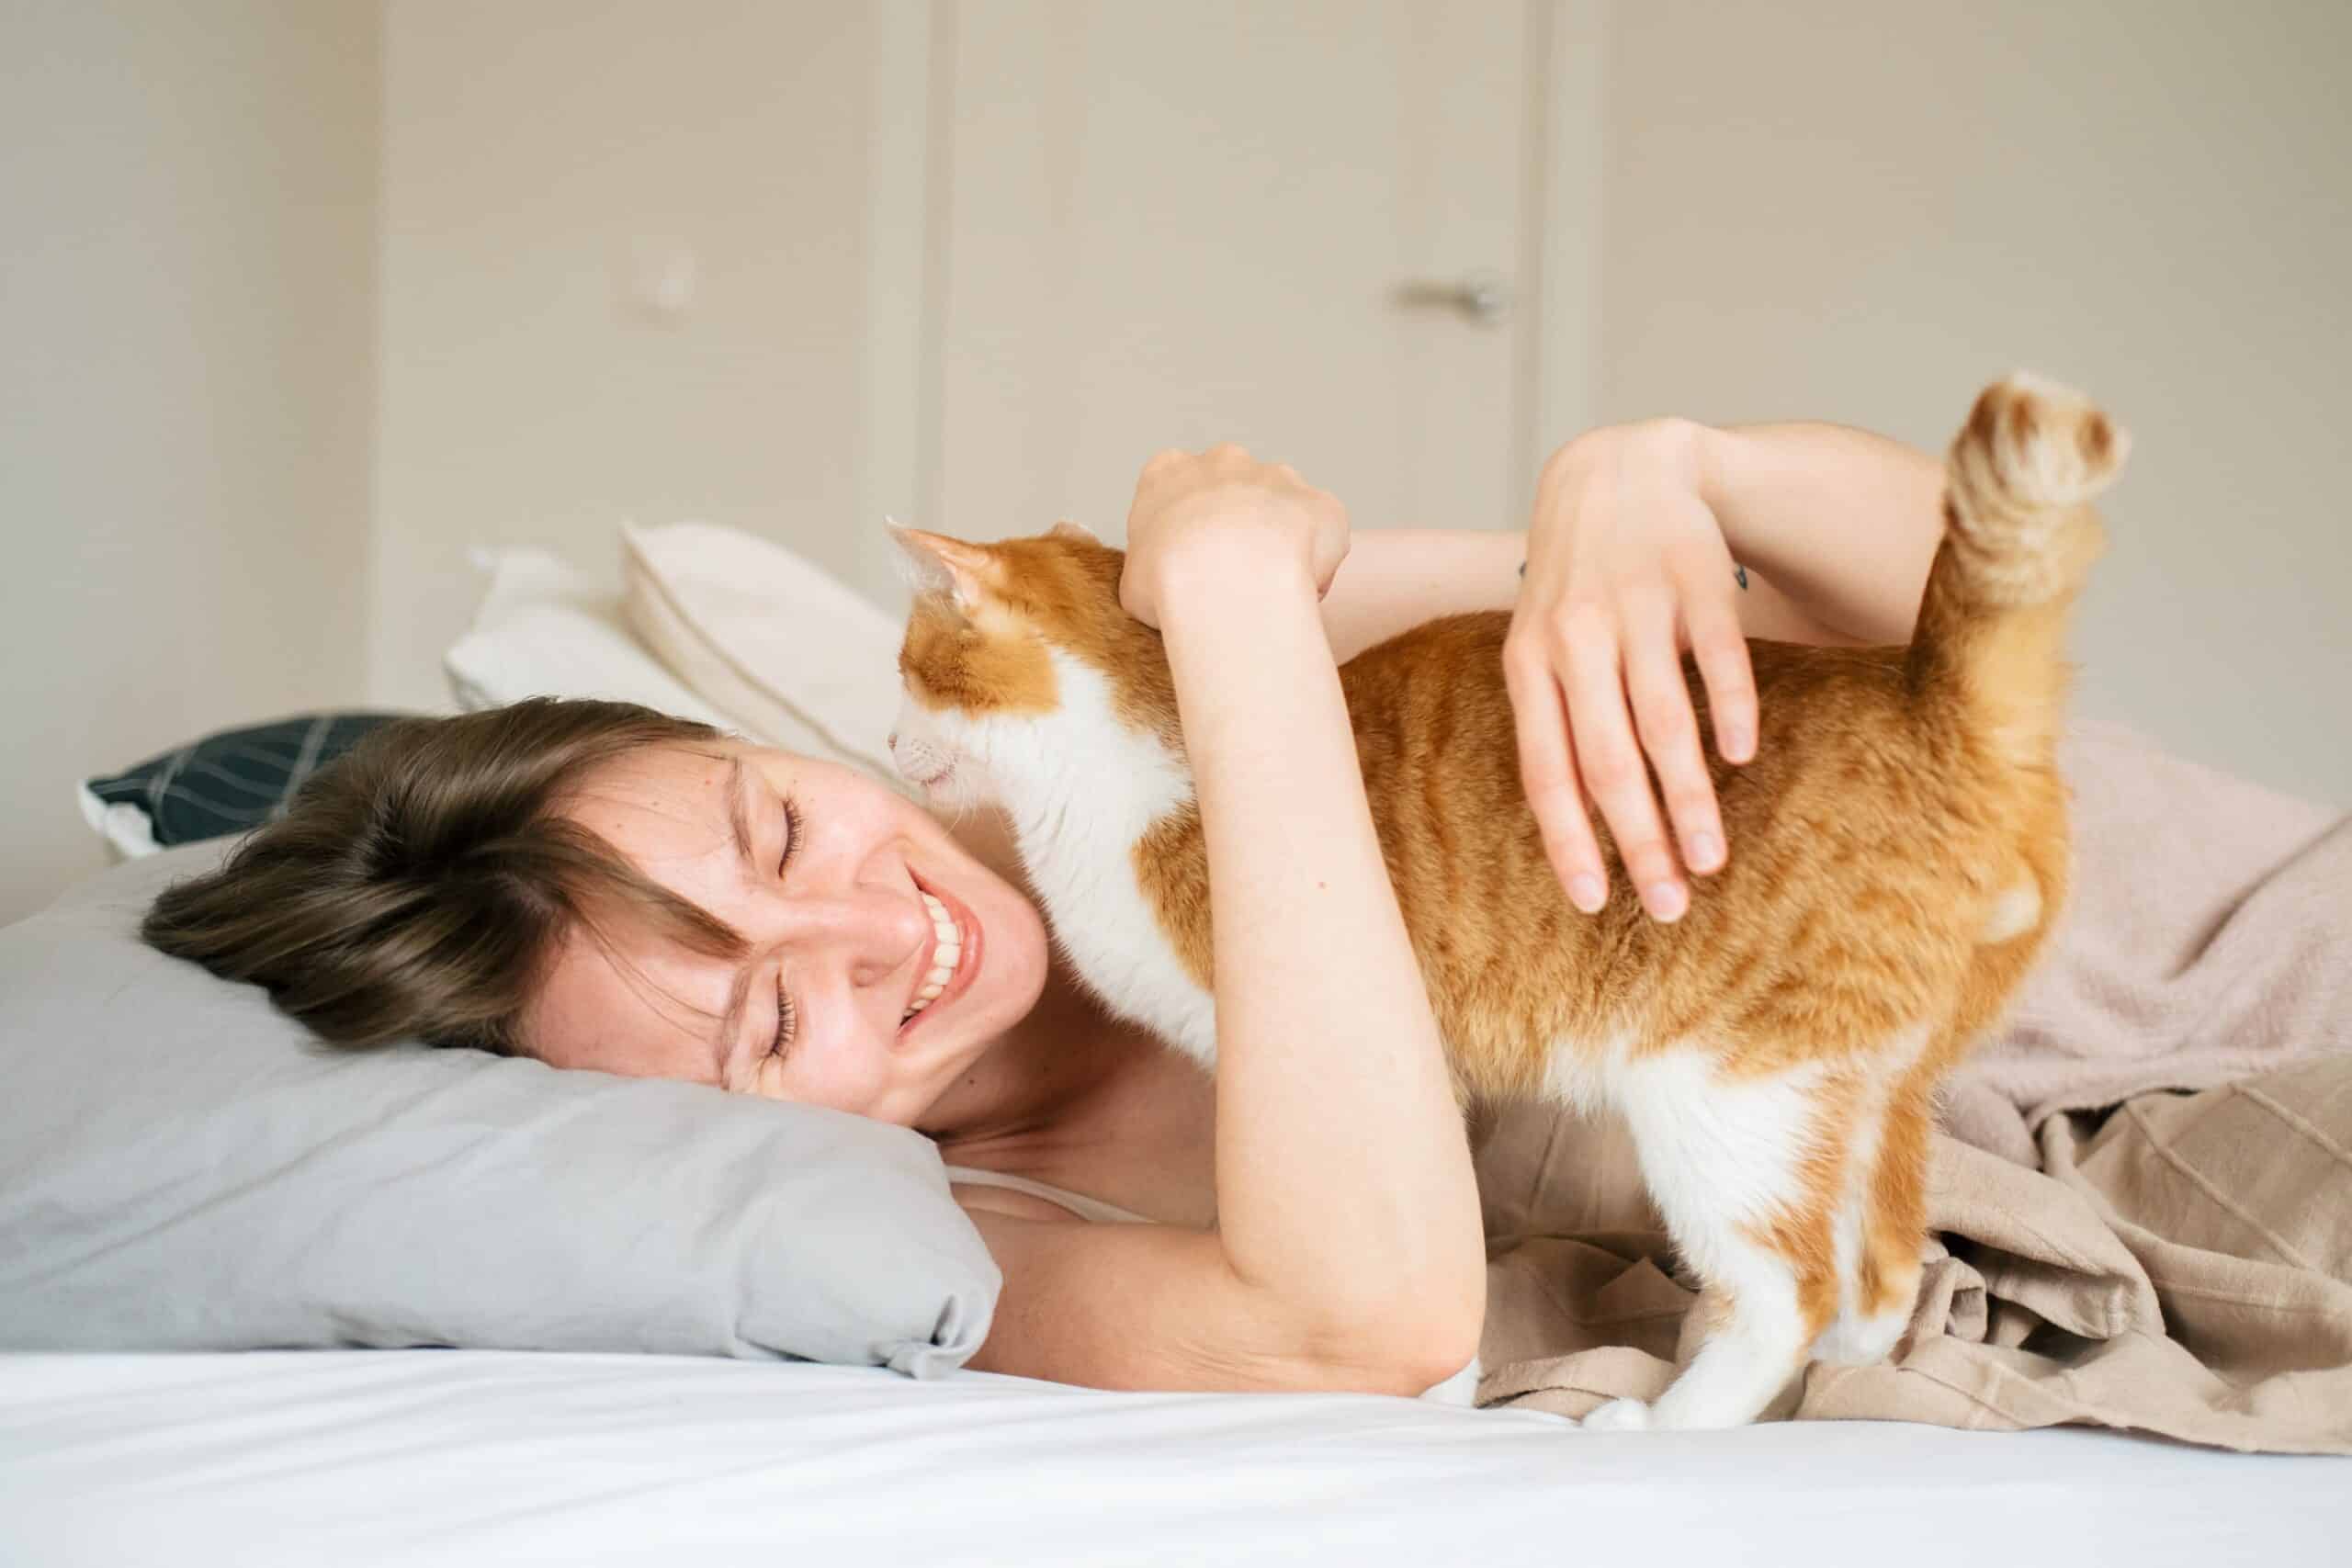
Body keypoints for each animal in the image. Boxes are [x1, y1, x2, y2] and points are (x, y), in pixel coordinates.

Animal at [884, 373, 2135, 1429]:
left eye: (904, 671)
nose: (890, 746)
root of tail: (1930, 696)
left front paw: (1435, 1411)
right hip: (1866, 1093)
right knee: (1882, 1275)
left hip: (1720, 1091)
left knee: (1795, 1291)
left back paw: (1662, 1424)